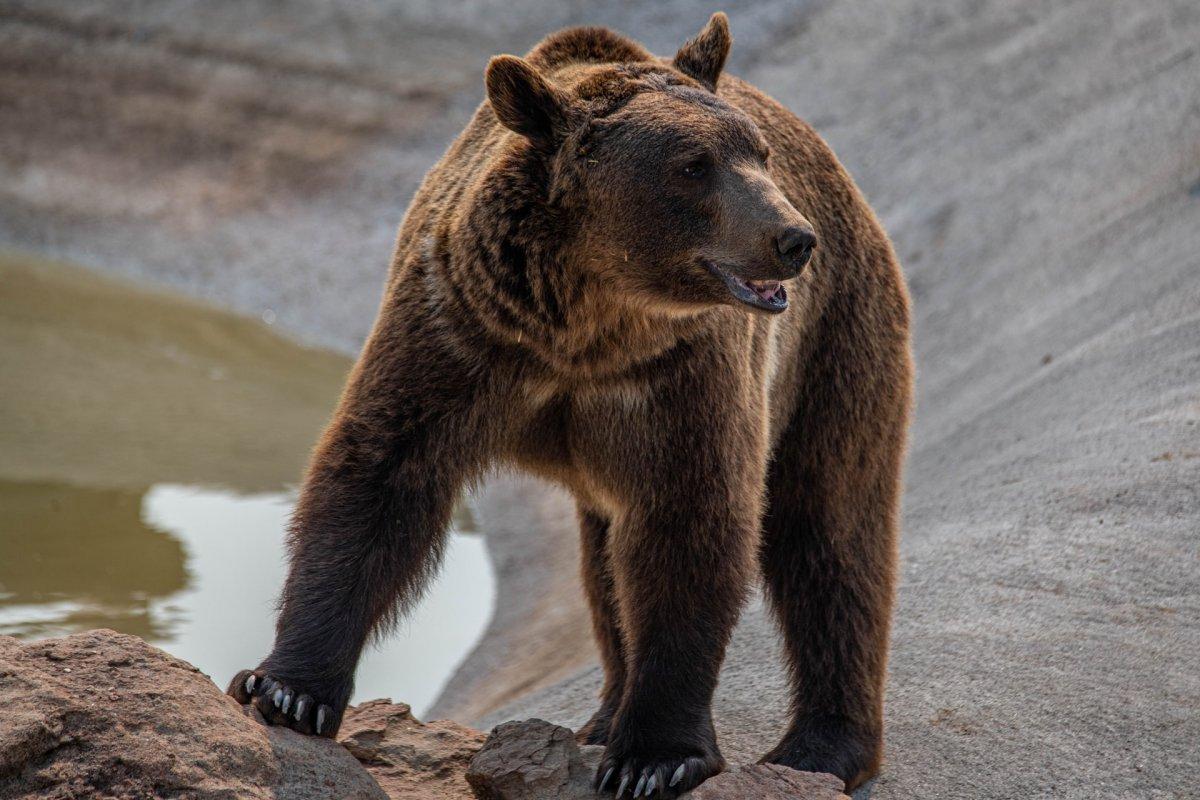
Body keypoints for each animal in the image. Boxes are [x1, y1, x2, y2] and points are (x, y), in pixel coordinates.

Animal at [229, 10, 912, 796]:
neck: (586, 327)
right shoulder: (461, 333)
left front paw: (655, 757)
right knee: (612, 562)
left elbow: (692, 522)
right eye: (694, 165)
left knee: (830, 530)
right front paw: (288, 689)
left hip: (836, 339)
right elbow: (378, 478)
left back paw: (821, 746)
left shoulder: (681, 376)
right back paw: (606, 714)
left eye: (757, 153)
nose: (793, 239)